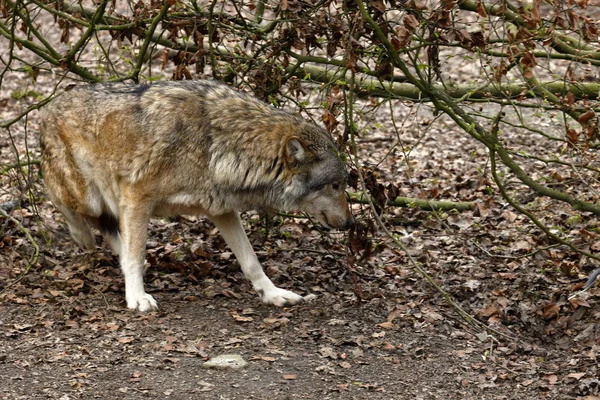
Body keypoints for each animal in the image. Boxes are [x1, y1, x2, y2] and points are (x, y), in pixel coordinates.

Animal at [42, 79, 354, 312]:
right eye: (335, 185)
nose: (351, 223)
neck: (216, 144)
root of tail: (50, 106)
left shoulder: (222, 210)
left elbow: (251, 261)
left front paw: (273, 293)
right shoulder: (136, 197)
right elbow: (135, 255)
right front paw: (137, 298)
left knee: (112, 231)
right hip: (88, 196)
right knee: (70, 209)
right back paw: (84, 238)